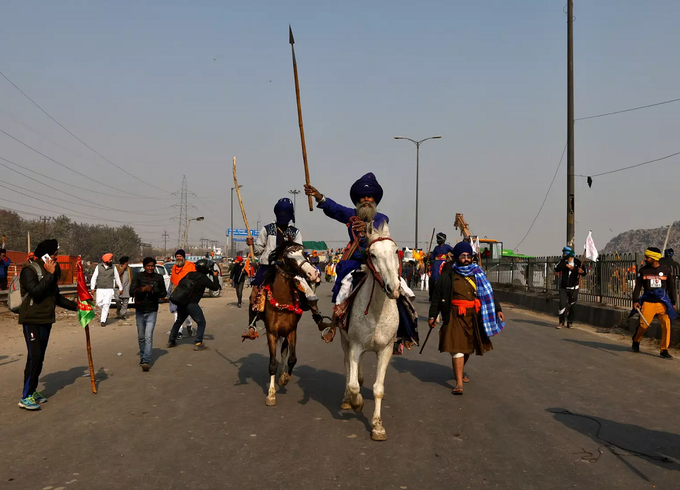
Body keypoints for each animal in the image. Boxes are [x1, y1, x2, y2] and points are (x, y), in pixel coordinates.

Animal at [256, 241, 320, 406]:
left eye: (304, 254)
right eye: (289, 258)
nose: (313, 273)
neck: (282, 301)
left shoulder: (292, 330)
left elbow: (292, 358)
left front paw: (285, 378)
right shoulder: (272, 332)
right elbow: (272, 364)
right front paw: (271, 395)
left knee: (284, 350)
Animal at [338, 222, 402, 440]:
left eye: (395, 251)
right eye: (372, 255)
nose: (393, 288)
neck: (376, 311)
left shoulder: (386, 350)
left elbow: (378, 388)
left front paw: (377, 426)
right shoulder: (355, 345)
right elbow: (353, 384)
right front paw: (356, 402)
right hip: (345, 341)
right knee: (348, 368)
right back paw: (347, 399)